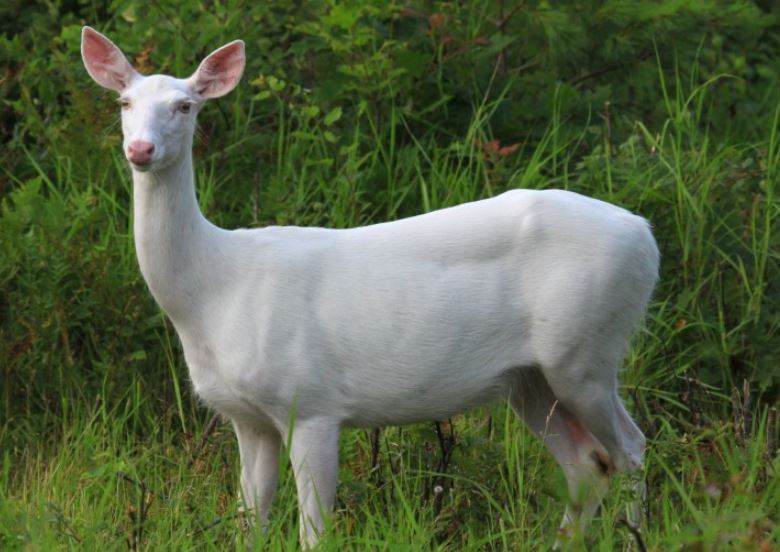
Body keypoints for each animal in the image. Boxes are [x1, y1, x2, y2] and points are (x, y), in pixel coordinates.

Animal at [82, 27, 660, 548]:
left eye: (184, 106)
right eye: (124, 102)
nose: (140, 148)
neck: (213, 291)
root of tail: (646, 235)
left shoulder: (312, 401)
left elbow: (314, 532)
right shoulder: (247, 417)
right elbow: (251, 522)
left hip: (586, 349)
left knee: (631, 450)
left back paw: (636, 535)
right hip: (530, 379)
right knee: (588, 463)